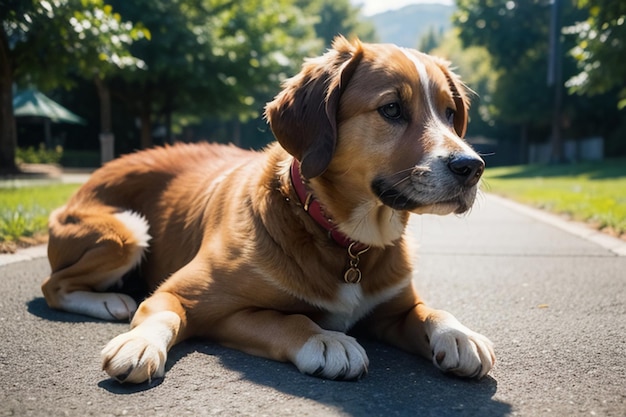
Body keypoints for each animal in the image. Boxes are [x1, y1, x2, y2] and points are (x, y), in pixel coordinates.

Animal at [41, 37, 494, 382]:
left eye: (450, 113)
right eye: (392, 109)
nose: (471, 167)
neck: (342, 237)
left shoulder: (393, 310)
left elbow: (429, 310)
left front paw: (457, 333)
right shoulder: (182, 294)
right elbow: (285, 319)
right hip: (129, 231)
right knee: (53, 286)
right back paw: (109, 302)